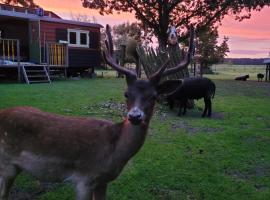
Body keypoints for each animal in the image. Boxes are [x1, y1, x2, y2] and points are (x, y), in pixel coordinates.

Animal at [0, 24, 194, 199]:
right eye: (126, 94)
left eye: (154, 96)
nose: (135, 116)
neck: (112, 155)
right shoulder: (84, 178)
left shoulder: (102, 181)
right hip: (7, 164)